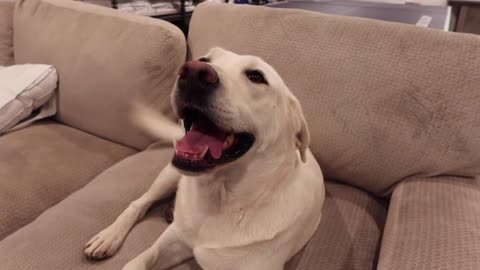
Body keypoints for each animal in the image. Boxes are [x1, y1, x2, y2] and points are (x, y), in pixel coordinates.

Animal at [83, 47, 326, 268]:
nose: (192, 71)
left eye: (256, 76)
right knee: (139, 203)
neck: (219, 197)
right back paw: (109, 236)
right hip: (169, 175)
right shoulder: (172, 241)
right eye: (204, 59)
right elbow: (136, 262)